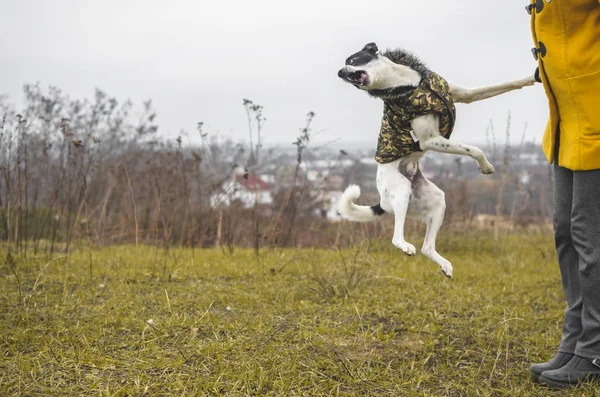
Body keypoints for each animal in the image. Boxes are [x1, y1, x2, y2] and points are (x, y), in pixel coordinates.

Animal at [338, 41, 536, 276]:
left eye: (352, 60)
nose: (340, 73)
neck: (409, 84)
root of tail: (383, 202)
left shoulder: (465, 94)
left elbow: (502, 85)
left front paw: (532, 78)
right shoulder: (430, 140)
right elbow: (474, 149)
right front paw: (485, 166)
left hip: (436, 200)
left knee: (427, 247)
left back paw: (445, 266)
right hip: (401, 190)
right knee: (396, 237)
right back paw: (406, 246)